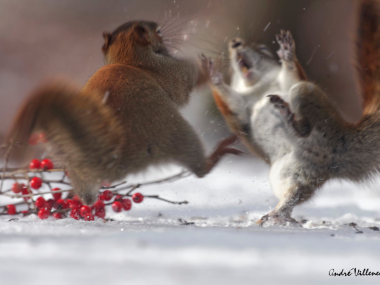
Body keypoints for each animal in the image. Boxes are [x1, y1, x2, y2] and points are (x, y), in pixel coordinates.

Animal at [5, 21, 240, 205]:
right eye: (158, 30)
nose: (165, 32)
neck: (128, 57)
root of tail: (112, 157)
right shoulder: (173, 71)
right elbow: (188, 83)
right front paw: (211, 66)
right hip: (175, 133)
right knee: (200, 168)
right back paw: (220, 151)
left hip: (79, 173)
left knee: (87, 197)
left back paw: (74, 195)